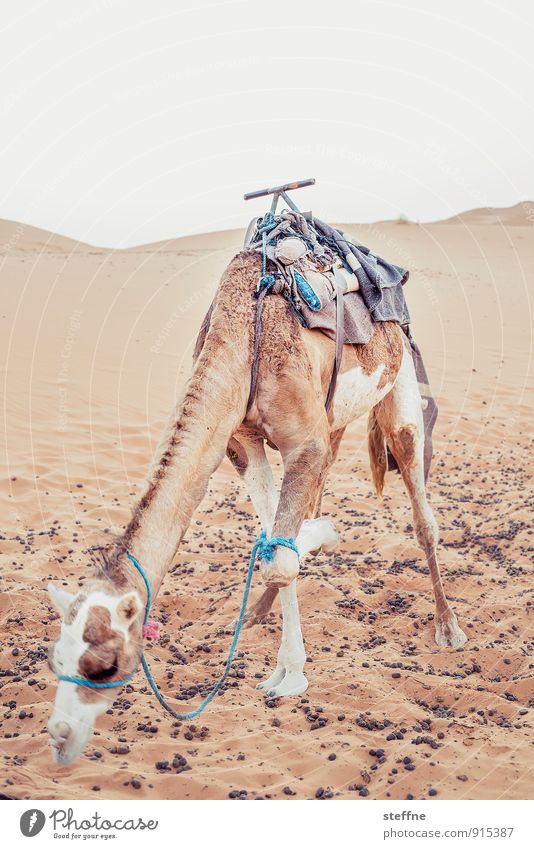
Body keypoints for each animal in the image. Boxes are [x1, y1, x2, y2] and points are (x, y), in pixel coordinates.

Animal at [46, 248, 466, 764]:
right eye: (56, 658)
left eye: (104, 664)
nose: (60, 735)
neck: (245, 338)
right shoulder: (242, 442)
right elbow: (275, 542)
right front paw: (285, 666)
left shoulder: (302, 441)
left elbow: (281, 557)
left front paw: (292, 672)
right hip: (336, 418)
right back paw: (256, 611)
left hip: (399, 383)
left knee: (420, 507)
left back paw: (447, 627)